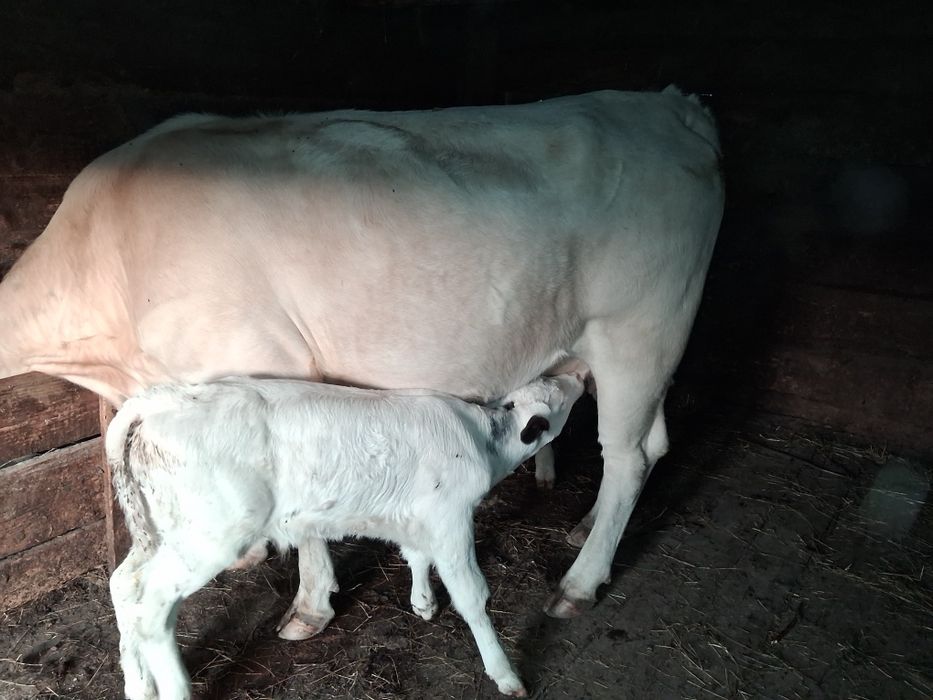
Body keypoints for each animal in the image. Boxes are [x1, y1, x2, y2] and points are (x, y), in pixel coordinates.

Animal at [0, 86, 723, 619]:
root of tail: (668, 104)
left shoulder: (266, 367)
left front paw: (310, 605)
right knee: (651, 444)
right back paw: (586, 527)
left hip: (640, 328)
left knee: (626, 457)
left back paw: (579, 581)